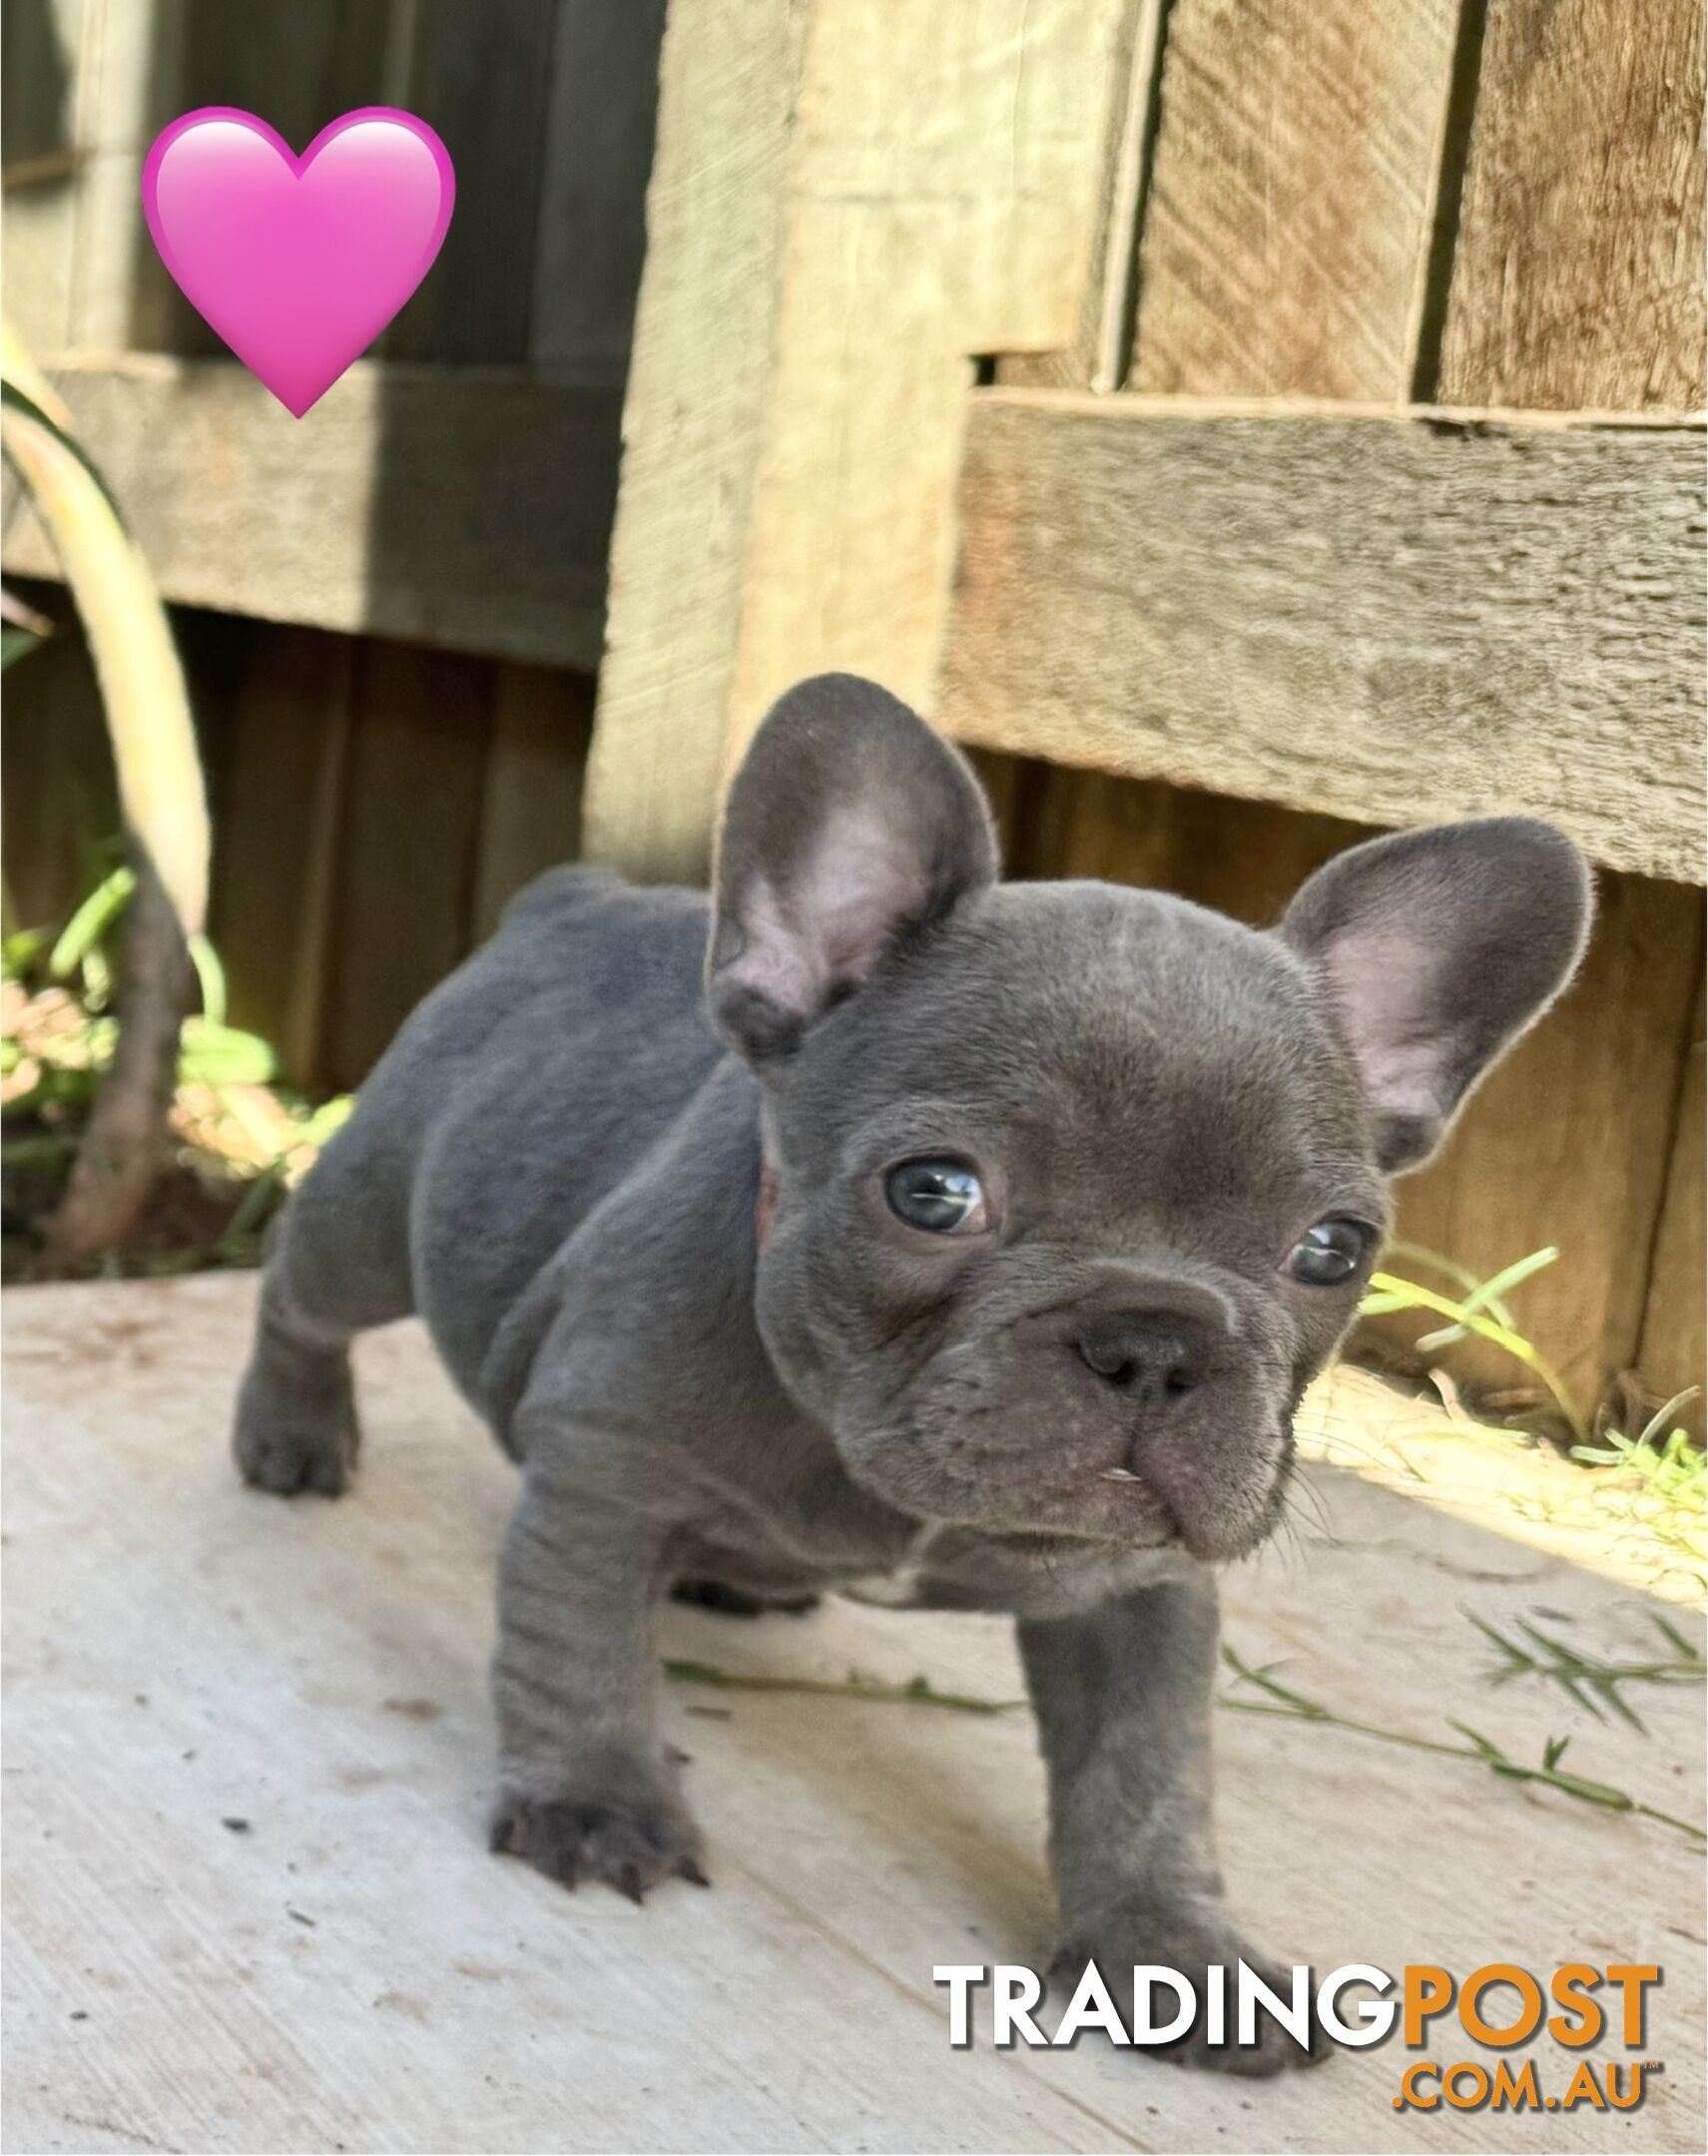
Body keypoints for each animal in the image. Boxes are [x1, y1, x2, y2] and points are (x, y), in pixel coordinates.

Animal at [234, 677, 1595, 2069]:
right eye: (932, 1193)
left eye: (1333, 1248)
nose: (1155, 1342)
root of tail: (575, 896)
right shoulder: (605, 1482)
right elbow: (580, 1654)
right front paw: (594, 1799)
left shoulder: (1141, 1598)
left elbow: (1147, 1782)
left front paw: (1175, 1952)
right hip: (374, 1219)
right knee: (301, 1285)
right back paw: (292, 1439)